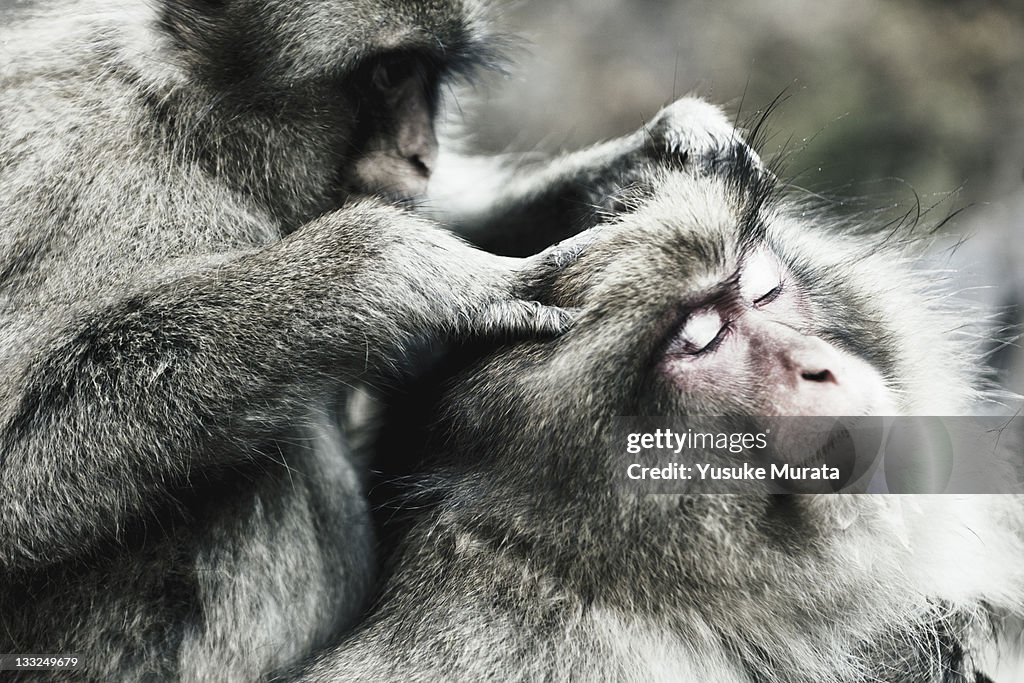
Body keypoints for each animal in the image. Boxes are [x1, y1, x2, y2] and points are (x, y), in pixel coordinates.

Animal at [0, 1, 737, 683]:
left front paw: (647, 156)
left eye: (425, 77)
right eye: (389, 74)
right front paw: (388, 270)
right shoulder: (95, 196)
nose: (422, 155)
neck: (196, 133)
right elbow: (17, 480)